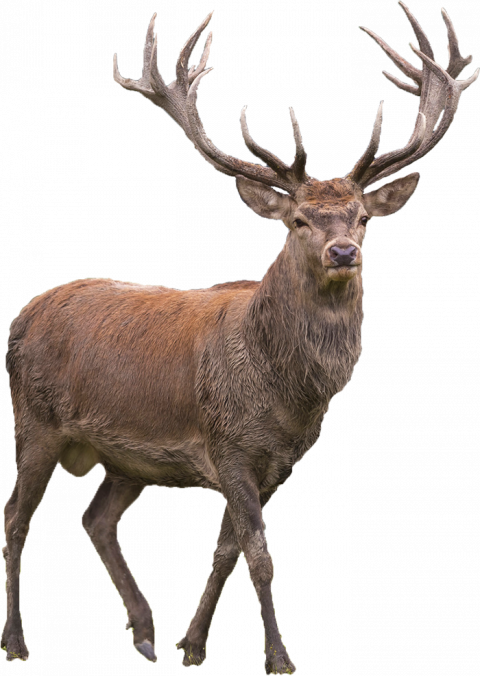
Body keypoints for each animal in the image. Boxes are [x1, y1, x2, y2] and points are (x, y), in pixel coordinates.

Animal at [1, 2, 477, 673]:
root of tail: (25, 314)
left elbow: (227, 549)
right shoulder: (226, 444)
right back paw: (17, 642)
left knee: (96, 519)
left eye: (361, 216)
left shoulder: (275, 460)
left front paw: (193, 644)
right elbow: (256, 551)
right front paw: (279, 657)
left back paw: (144, 633)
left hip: (125, 455)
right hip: (35, 419)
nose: (342, 250)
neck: (284, 395)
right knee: (17, 519)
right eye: (298, 219)